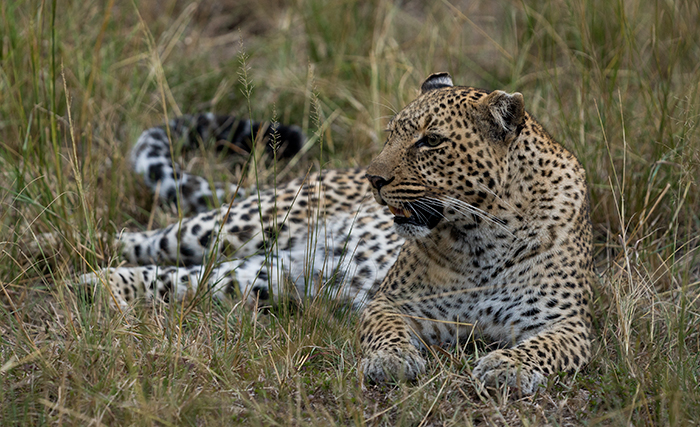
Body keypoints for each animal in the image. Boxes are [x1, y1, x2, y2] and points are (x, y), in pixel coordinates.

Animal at [72, 73, 592, 395]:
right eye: (393, 132)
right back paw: (80, 259)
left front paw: (506, 366)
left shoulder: (570, 324)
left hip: (261, 277)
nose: (374, 178)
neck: (481, 235)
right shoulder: (393, 302)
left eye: (431, 141)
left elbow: (542, 347)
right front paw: (391, 362)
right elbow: (386, 331)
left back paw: (101, 286)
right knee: (150, 238)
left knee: (186, 279)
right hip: (244, 223)